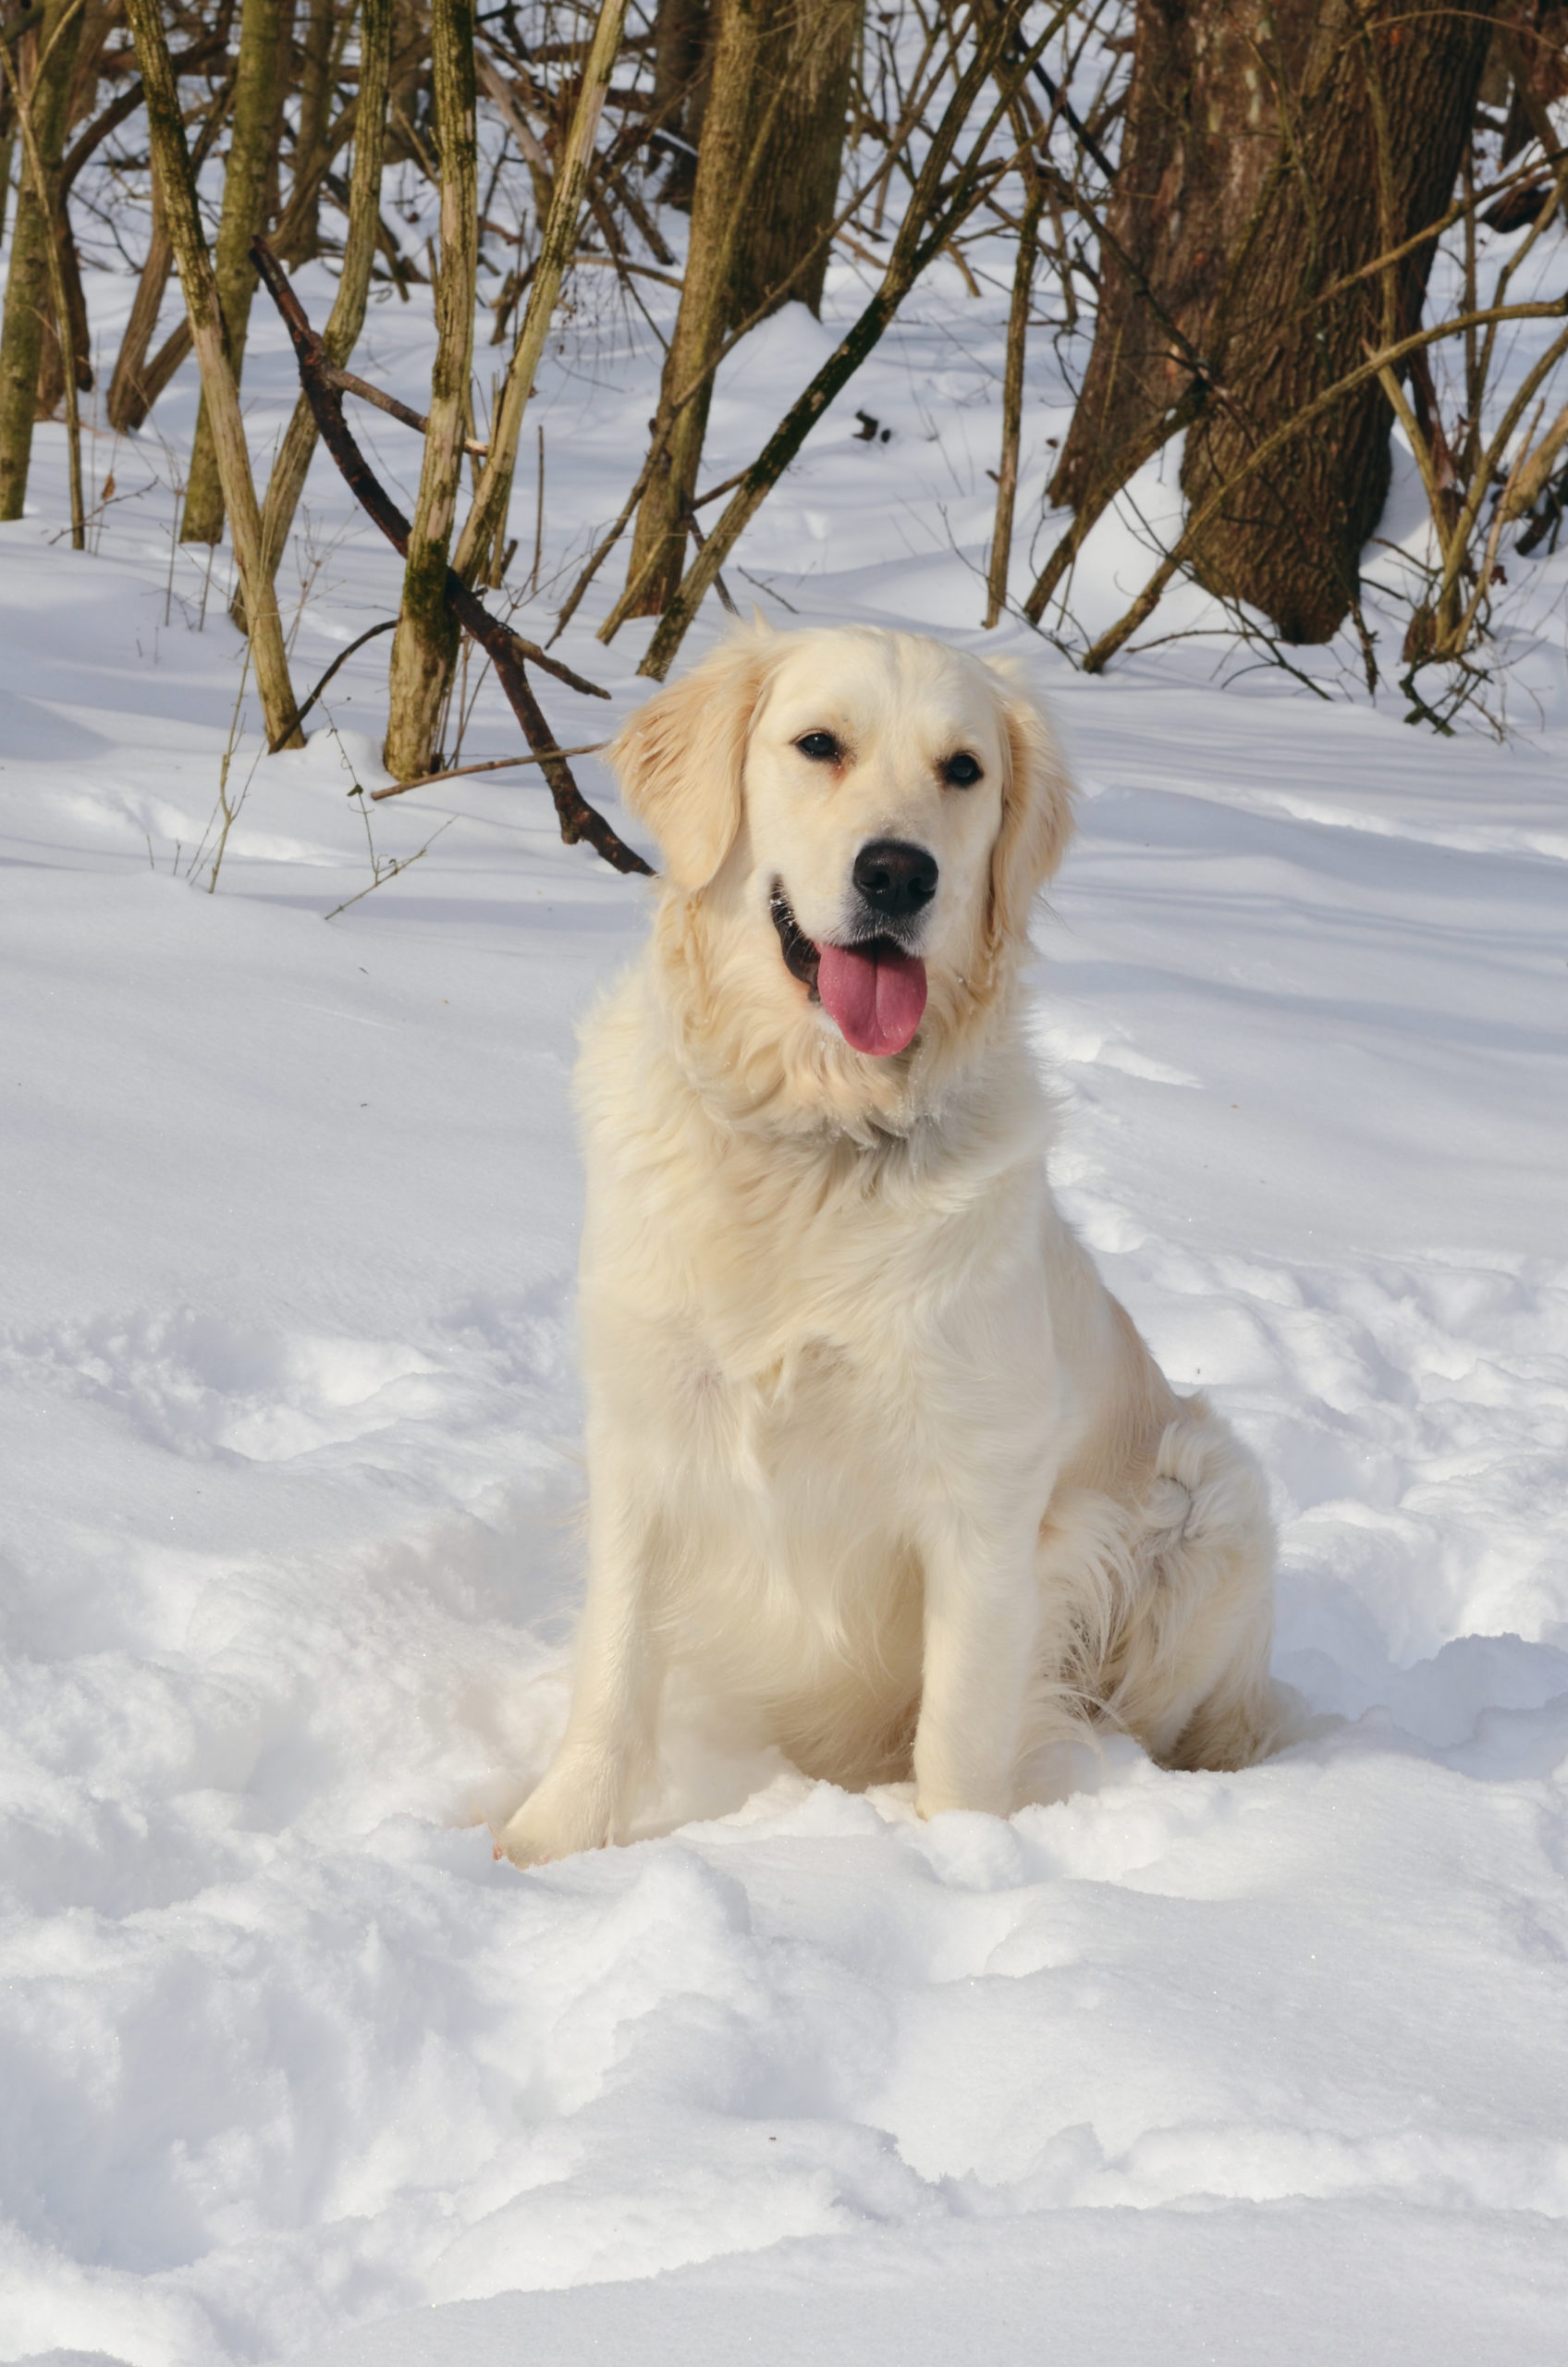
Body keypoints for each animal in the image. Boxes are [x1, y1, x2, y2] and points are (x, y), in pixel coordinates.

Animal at [499, 624, 1288, 1865]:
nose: (899, 874)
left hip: (1210, 1497)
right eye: (819, 744)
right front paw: (543, 1848)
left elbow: (958, 1730)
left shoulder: (984, 1495)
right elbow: (612, 1671)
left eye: (963, 770)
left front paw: (956, 1866)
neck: (815, 1142)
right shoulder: (644, 1430)